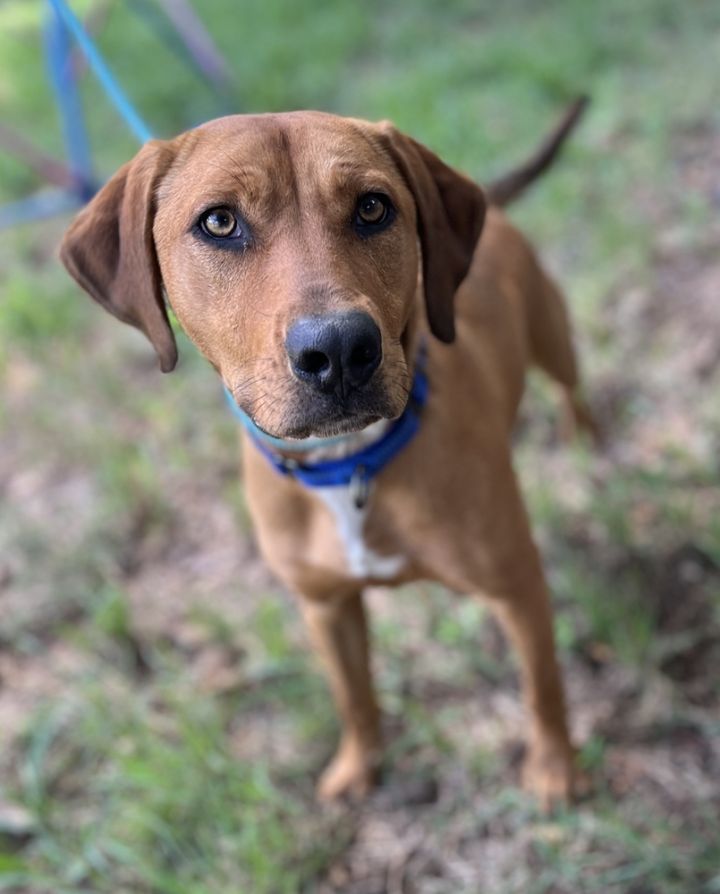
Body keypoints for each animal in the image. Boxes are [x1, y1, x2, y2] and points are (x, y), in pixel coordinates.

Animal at [60, 98, 592, 812]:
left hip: (553, 336)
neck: (350, 465)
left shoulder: (517, 586)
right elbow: (354, 695)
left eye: (372, 208)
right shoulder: (324, 607)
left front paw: (554, 768)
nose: (339, 349)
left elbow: (543, 687)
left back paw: (587, 442)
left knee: (570, 386)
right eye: (219, 222)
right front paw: (358, 767)